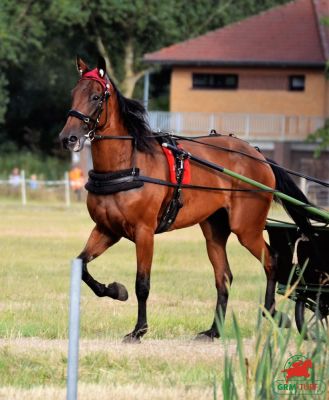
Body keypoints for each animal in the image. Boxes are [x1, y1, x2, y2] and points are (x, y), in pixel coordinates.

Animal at [59, 56, 312, 342]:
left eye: (95, 96)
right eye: (73, 94)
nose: (68, 138)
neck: (127, 166)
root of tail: (258, 155)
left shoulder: (144, 232)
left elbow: (142, 283)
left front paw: (139, 329)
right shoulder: (106, 229)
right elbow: (81, 265)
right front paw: (115, 290)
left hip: (246, 228)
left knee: (271, 262)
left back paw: (272, 313)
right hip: (214, 230)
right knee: (224, 277)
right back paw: (214, 330)